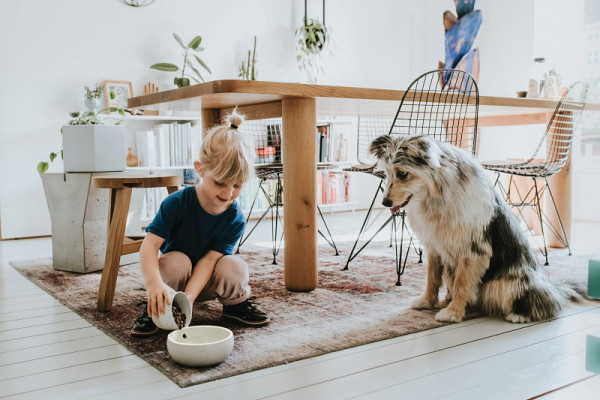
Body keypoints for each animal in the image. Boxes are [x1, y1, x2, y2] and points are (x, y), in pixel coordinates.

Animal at [368, 136, 584, 324]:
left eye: (403, 173)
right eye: (386, 173)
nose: (385, 202)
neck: (438, 197)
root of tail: (554, 287)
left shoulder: (473, 251)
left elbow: (462, 284)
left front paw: (453, 313)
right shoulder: (434, 246)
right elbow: (432, 278)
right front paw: (427, 302)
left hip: (508, 283)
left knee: (546, 302)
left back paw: (520, 315)